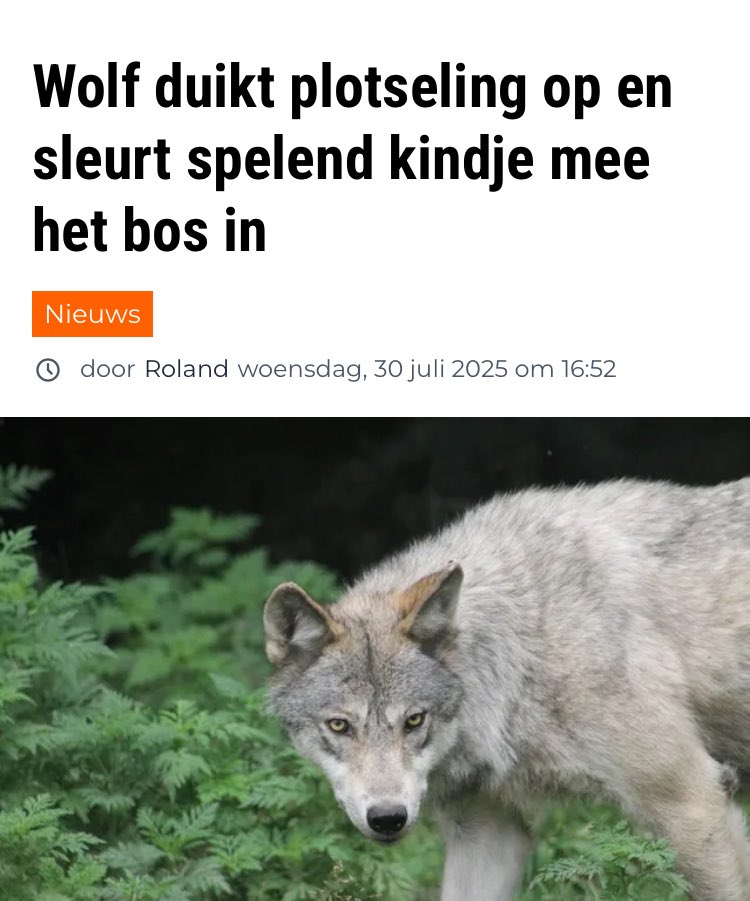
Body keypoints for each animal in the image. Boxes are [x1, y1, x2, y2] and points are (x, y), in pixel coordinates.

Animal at [264, 478, 750, 901]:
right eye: (339, 725)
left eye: (414, 720)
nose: (387, 819)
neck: (525, 650)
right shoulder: (486, 830)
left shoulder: (691, 802)